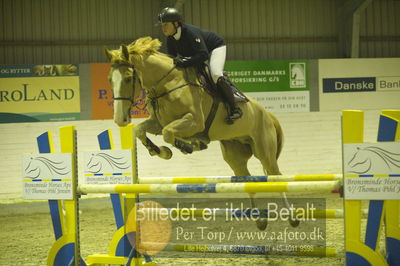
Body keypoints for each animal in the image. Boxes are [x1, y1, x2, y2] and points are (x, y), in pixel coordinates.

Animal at [104, 37, 298, 229]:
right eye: (110, 80)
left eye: (128, 78)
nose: (120, 120)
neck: (168, 83)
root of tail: (267, 114)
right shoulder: (158, 123)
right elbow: (141, 130)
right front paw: (161, 151)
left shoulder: (194, 122)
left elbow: (169, 133)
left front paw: (187, 146)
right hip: (235, 156)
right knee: (248, 179)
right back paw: (260, 220)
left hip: (264, 152)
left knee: (276, 177)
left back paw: (291, 217)